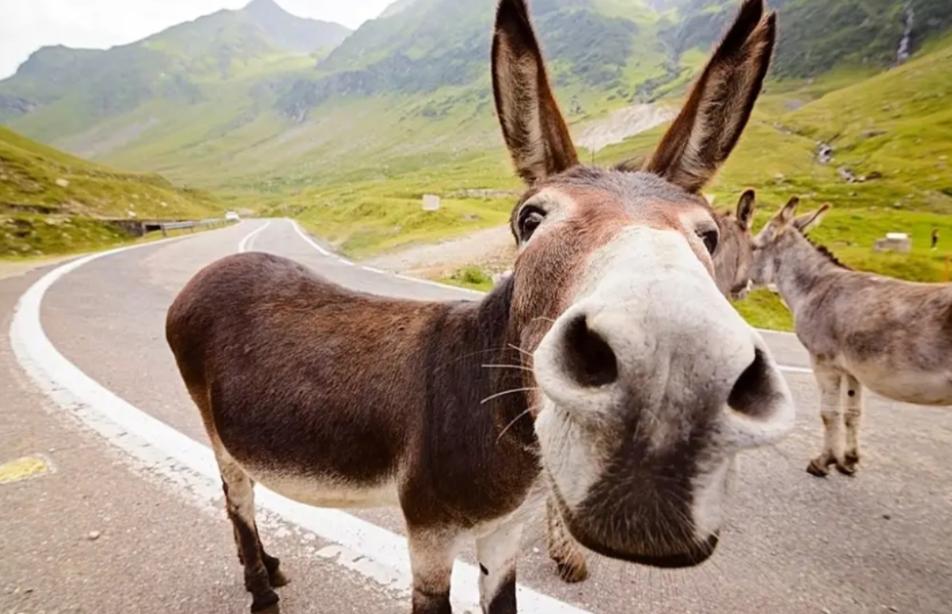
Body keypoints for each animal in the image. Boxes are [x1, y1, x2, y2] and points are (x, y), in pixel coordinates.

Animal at [166, 1, 793, 611]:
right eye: (530, 220)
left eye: (708, 235)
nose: (669, 383)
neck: (496, 407)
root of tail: (210, 271)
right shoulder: (429, 532)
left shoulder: (504, 531)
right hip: (217, 431)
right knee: (236, 497)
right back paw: (261, 588)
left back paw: (269, 567)